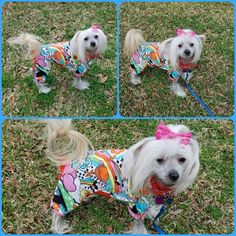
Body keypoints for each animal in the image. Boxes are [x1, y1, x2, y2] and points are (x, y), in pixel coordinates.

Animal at [45, 121, 199, 233]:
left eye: (182, 160)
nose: (174, 175)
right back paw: (59, 227)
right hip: (68, 193)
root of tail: (70, 160)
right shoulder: (137, 205)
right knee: (56, 211)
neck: (154, 180)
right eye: (159, 160)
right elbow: (139, 224)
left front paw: (154, 215)